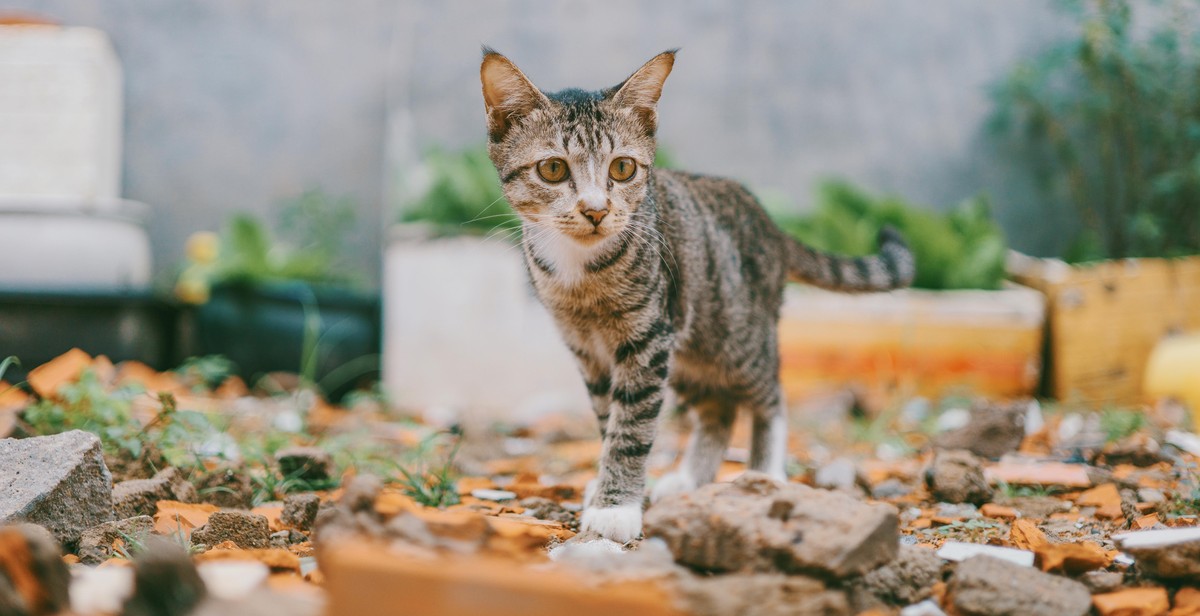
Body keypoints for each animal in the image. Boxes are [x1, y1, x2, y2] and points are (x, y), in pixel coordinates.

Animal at [477, 48, 907, 540]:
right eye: (552, 168)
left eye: (623, 167)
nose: (596, 210)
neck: (580, 274)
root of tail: (772, 226)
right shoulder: (588, 350)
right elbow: (609, 420)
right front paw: (608, 486)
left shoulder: (647, 339)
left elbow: (632, 428)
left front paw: (615, 507)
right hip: (689, 350)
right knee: (719, 410)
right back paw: (689, 480)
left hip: (734, 336)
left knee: (769, 395)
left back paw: (766, 473)